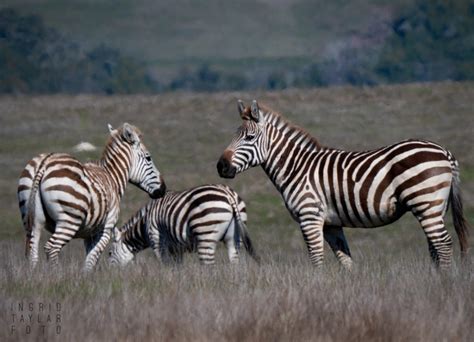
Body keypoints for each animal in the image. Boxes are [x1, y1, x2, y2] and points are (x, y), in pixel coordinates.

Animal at [17, 121, 167, 272]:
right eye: (148, 158)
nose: (163, 189)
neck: (113, 178)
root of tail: (45, 162)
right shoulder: (106, 229)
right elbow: (92, 260)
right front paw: (85, 277)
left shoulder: (89, 234)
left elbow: (89, 259)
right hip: (69, 220)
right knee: (51, 247)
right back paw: (56, 274)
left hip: (32, 219)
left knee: (32, 250)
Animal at [108, 184, 260, 268]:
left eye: (109, 253)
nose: (110, 274)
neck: (145, 223)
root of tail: (228, 194)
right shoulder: (177, 248)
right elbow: (177, 267)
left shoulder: (156, 240)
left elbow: (164, 264)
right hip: (234, 237)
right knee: (234, 261)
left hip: (205, 235)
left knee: (209, 266)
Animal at [217, 99, 468, 270]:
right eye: (234, 135)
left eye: (249, 138)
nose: (221, 166)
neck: (296, 168)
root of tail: (444, 152)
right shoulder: (332, 224)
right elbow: (345, 260)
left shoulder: (310, 217)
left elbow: (316, 259)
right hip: (435, 206)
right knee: (435, 246)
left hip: (424, 201)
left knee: (443, 244)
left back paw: (443, 282)